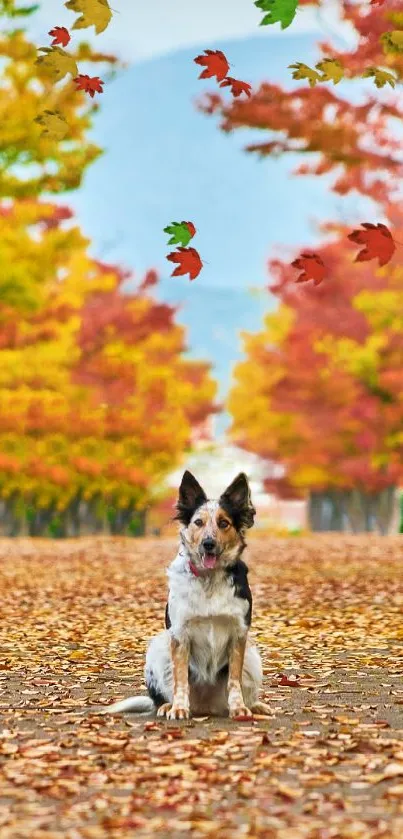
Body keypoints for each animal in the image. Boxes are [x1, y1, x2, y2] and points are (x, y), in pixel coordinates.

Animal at [105, 472, 272, 720]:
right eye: (198, 523)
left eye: (223, 523)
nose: (208, 543)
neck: (209, 578)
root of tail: (206, 707)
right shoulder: (180, 635)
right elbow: (180, 680)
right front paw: (179, 708)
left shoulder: (239, 634)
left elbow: (234, 681)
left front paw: (239, 707)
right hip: (159, 647)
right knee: (164, 693)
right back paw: (167, 706)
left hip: (252, 656)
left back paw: (255, 706)